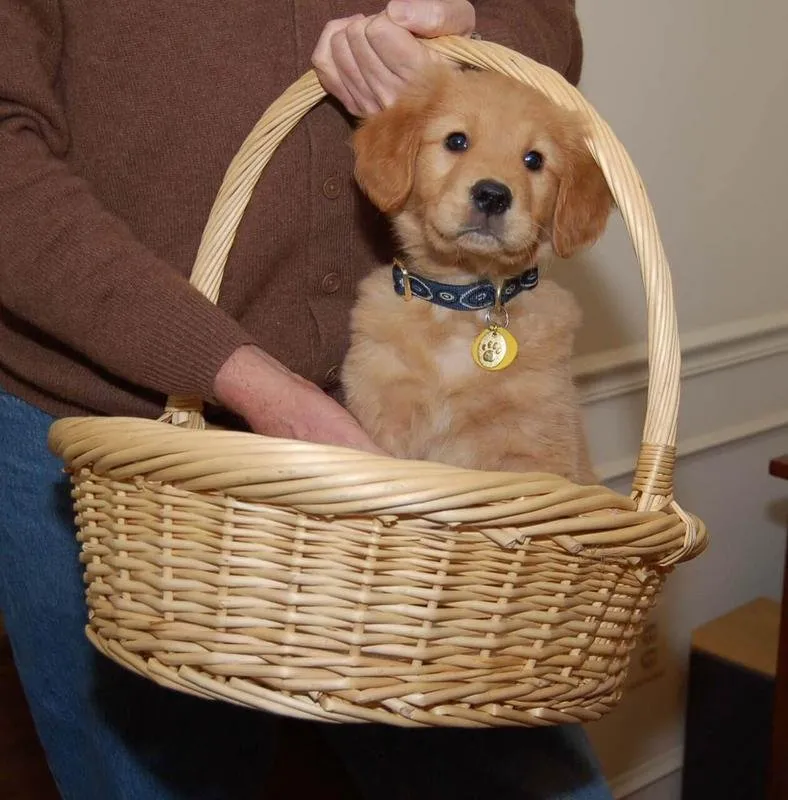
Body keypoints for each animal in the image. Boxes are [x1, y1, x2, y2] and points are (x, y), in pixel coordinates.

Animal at [342, 67, 612, 482]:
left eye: (534, 159)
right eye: (456, 140)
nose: (493, 195)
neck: (462, 299)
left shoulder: (536, 449)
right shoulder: (383, 410)